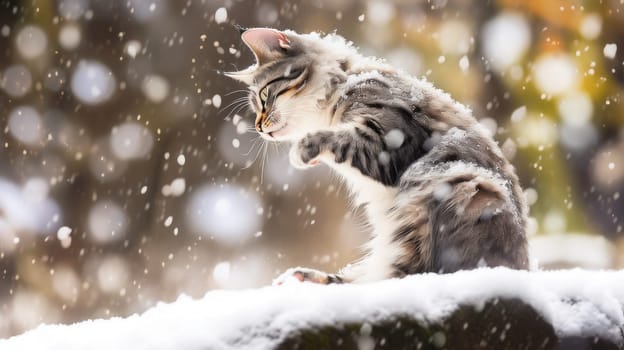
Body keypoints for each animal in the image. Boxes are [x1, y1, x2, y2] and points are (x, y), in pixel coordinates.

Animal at [224, 28, 528, 284]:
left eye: (264, 96)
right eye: (256, 106)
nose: (258, 127)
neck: (344, 83)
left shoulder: (387, 141)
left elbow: (336, 139)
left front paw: (302, 151)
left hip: (458, 185)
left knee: (408, 272)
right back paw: (306, 277)